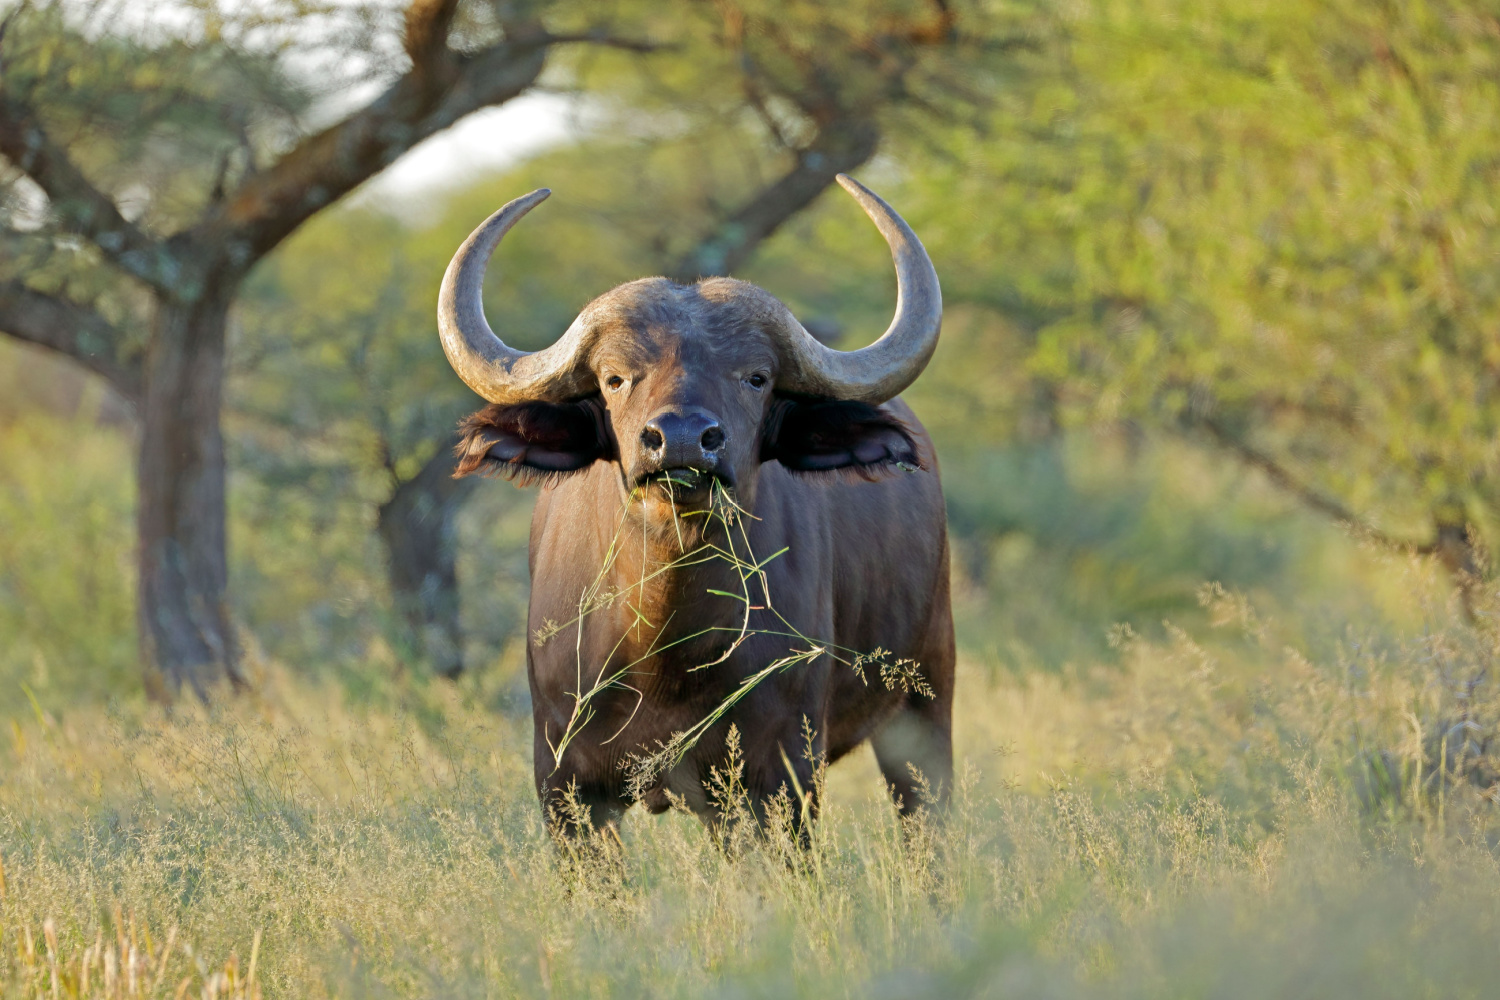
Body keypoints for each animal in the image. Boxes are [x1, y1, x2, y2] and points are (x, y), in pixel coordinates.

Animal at [438, 173, 948, 839]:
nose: (681, 440)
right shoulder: (567, 789)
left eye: (756, 377)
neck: (665, 646)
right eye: (614, 378)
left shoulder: (784, 779)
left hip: (925, 706)